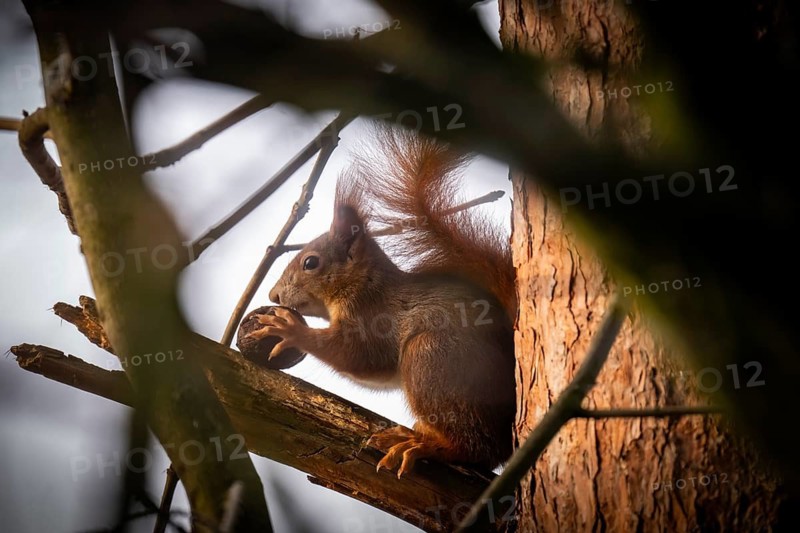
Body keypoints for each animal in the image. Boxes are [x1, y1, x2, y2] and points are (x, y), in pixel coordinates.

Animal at [247, 126, 517, 477]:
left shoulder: (374, 317)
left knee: (479, 449)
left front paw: (289, 329)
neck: (365, 284)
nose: (273, 296)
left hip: (433, 357)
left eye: (310, 263)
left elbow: (358, 355)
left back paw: (424, 444)